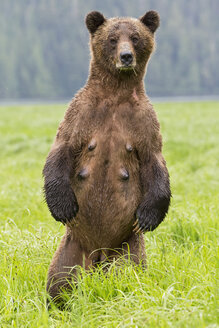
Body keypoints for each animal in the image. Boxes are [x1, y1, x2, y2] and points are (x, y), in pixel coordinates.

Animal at [43, 10, 171, 302]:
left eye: (135, 37)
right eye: (112, 38)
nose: (126, 56)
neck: (115, 94)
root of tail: (99, 254)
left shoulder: (144, 123)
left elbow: (155, 163)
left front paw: (148, 217)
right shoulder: (81, 115)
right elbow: (61, 152)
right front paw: (63, 207)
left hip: (127, 249)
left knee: (129, 276)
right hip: (71, 249)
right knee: (60, 279)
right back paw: (56, 302)